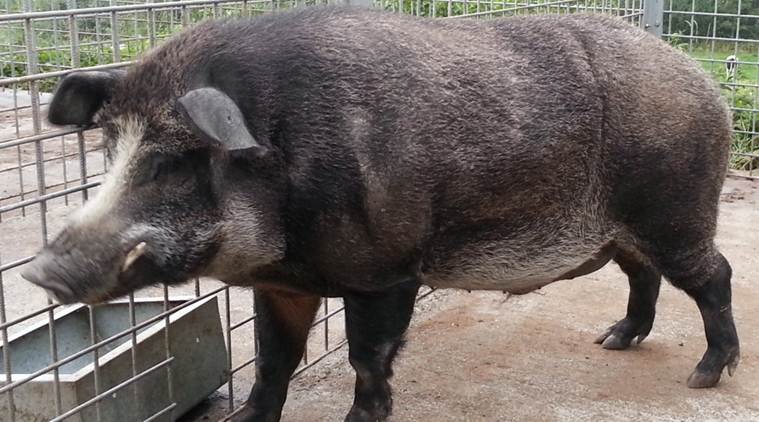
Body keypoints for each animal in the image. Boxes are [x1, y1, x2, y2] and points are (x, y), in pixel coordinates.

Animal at [22, 6, 739, 422]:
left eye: (173, 160)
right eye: (108, 146)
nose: (38, 271)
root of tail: (701, 80)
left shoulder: (387, 271)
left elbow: (368, 358)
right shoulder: (280, 284)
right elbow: (272, 361)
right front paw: (245, 421)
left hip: (675, 208)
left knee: (714, 275)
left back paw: (705, 376)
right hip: (626, 230)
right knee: (641, 274)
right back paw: (614, 340)